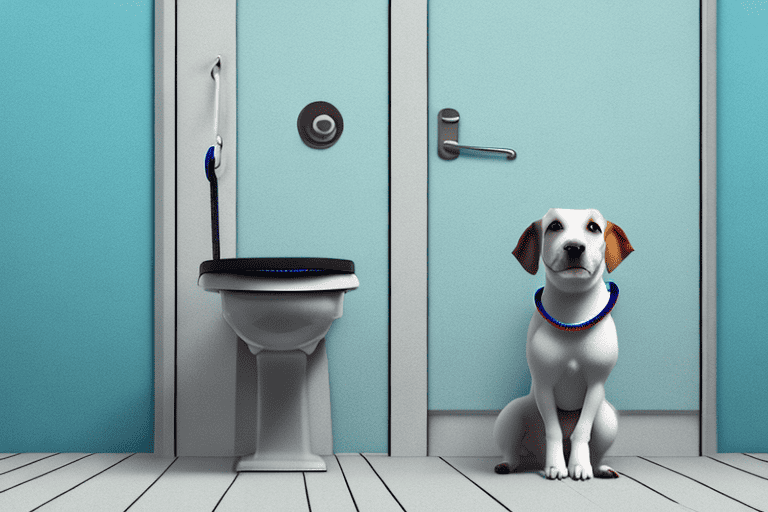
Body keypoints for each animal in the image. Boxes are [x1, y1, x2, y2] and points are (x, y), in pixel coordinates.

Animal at [496, 208, 632, 480]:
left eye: (593, 227)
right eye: (555, 226)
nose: (574, 247)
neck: (573, 314)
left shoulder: (595, 385)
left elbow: (582, 431)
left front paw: (578, 465)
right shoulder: (544, 384)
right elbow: (554, 430)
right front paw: (556, 466)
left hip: (607, 419)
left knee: (596, 449)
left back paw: (600, 467)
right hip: (512, 414)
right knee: (512, 449)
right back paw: (509, 464)